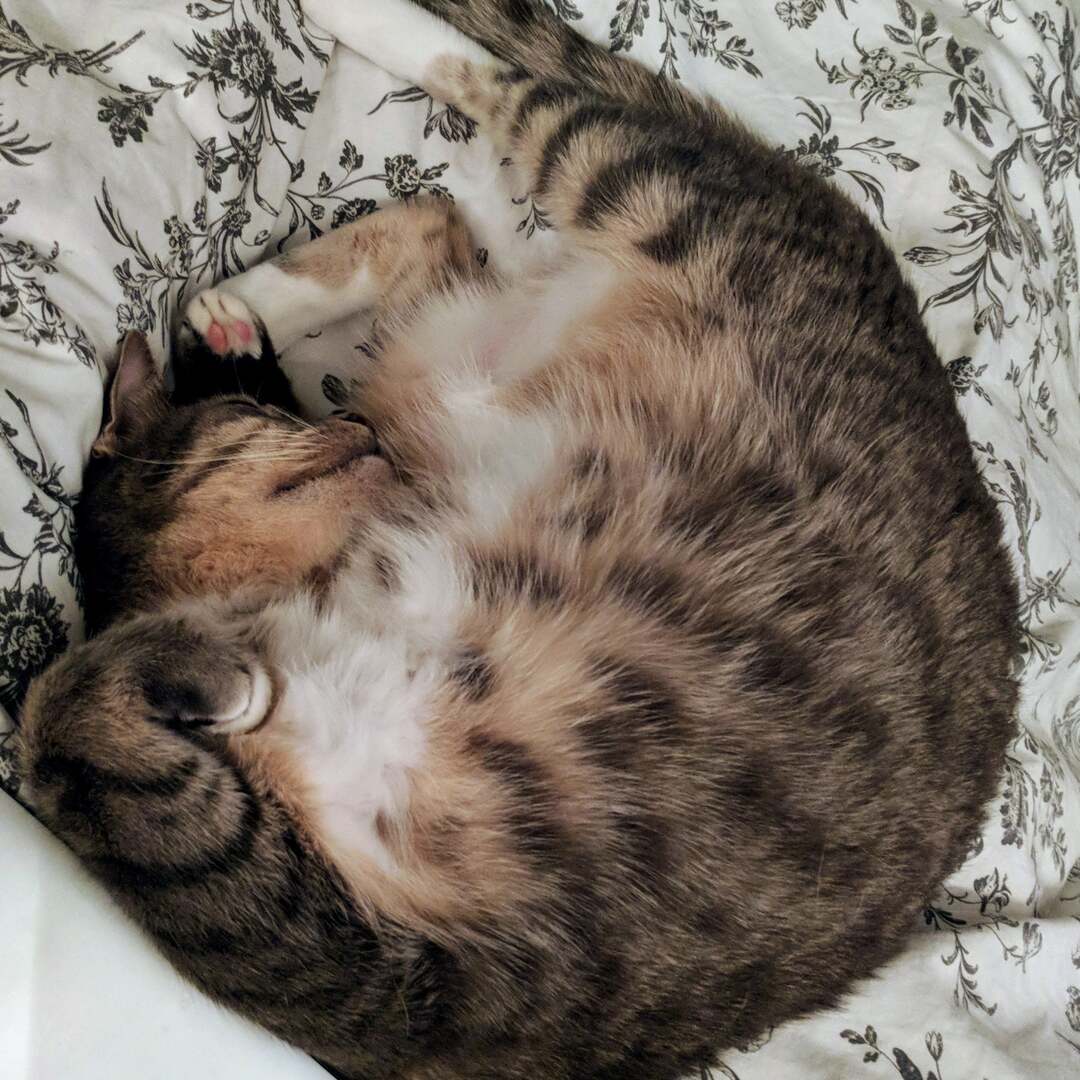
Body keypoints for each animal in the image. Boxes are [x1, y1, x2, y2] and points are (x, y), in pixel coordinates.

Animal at [12, 2, 1015, 1080]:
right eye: (266, 423)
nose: (352, 429)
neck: (304, 583)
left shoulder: (335, 949)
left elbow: (60, 708)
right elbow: (67, 711)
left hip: (646, 203)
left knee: (507, 108)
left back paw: (341, 57)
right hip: (471, 324)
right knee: (445, 214)